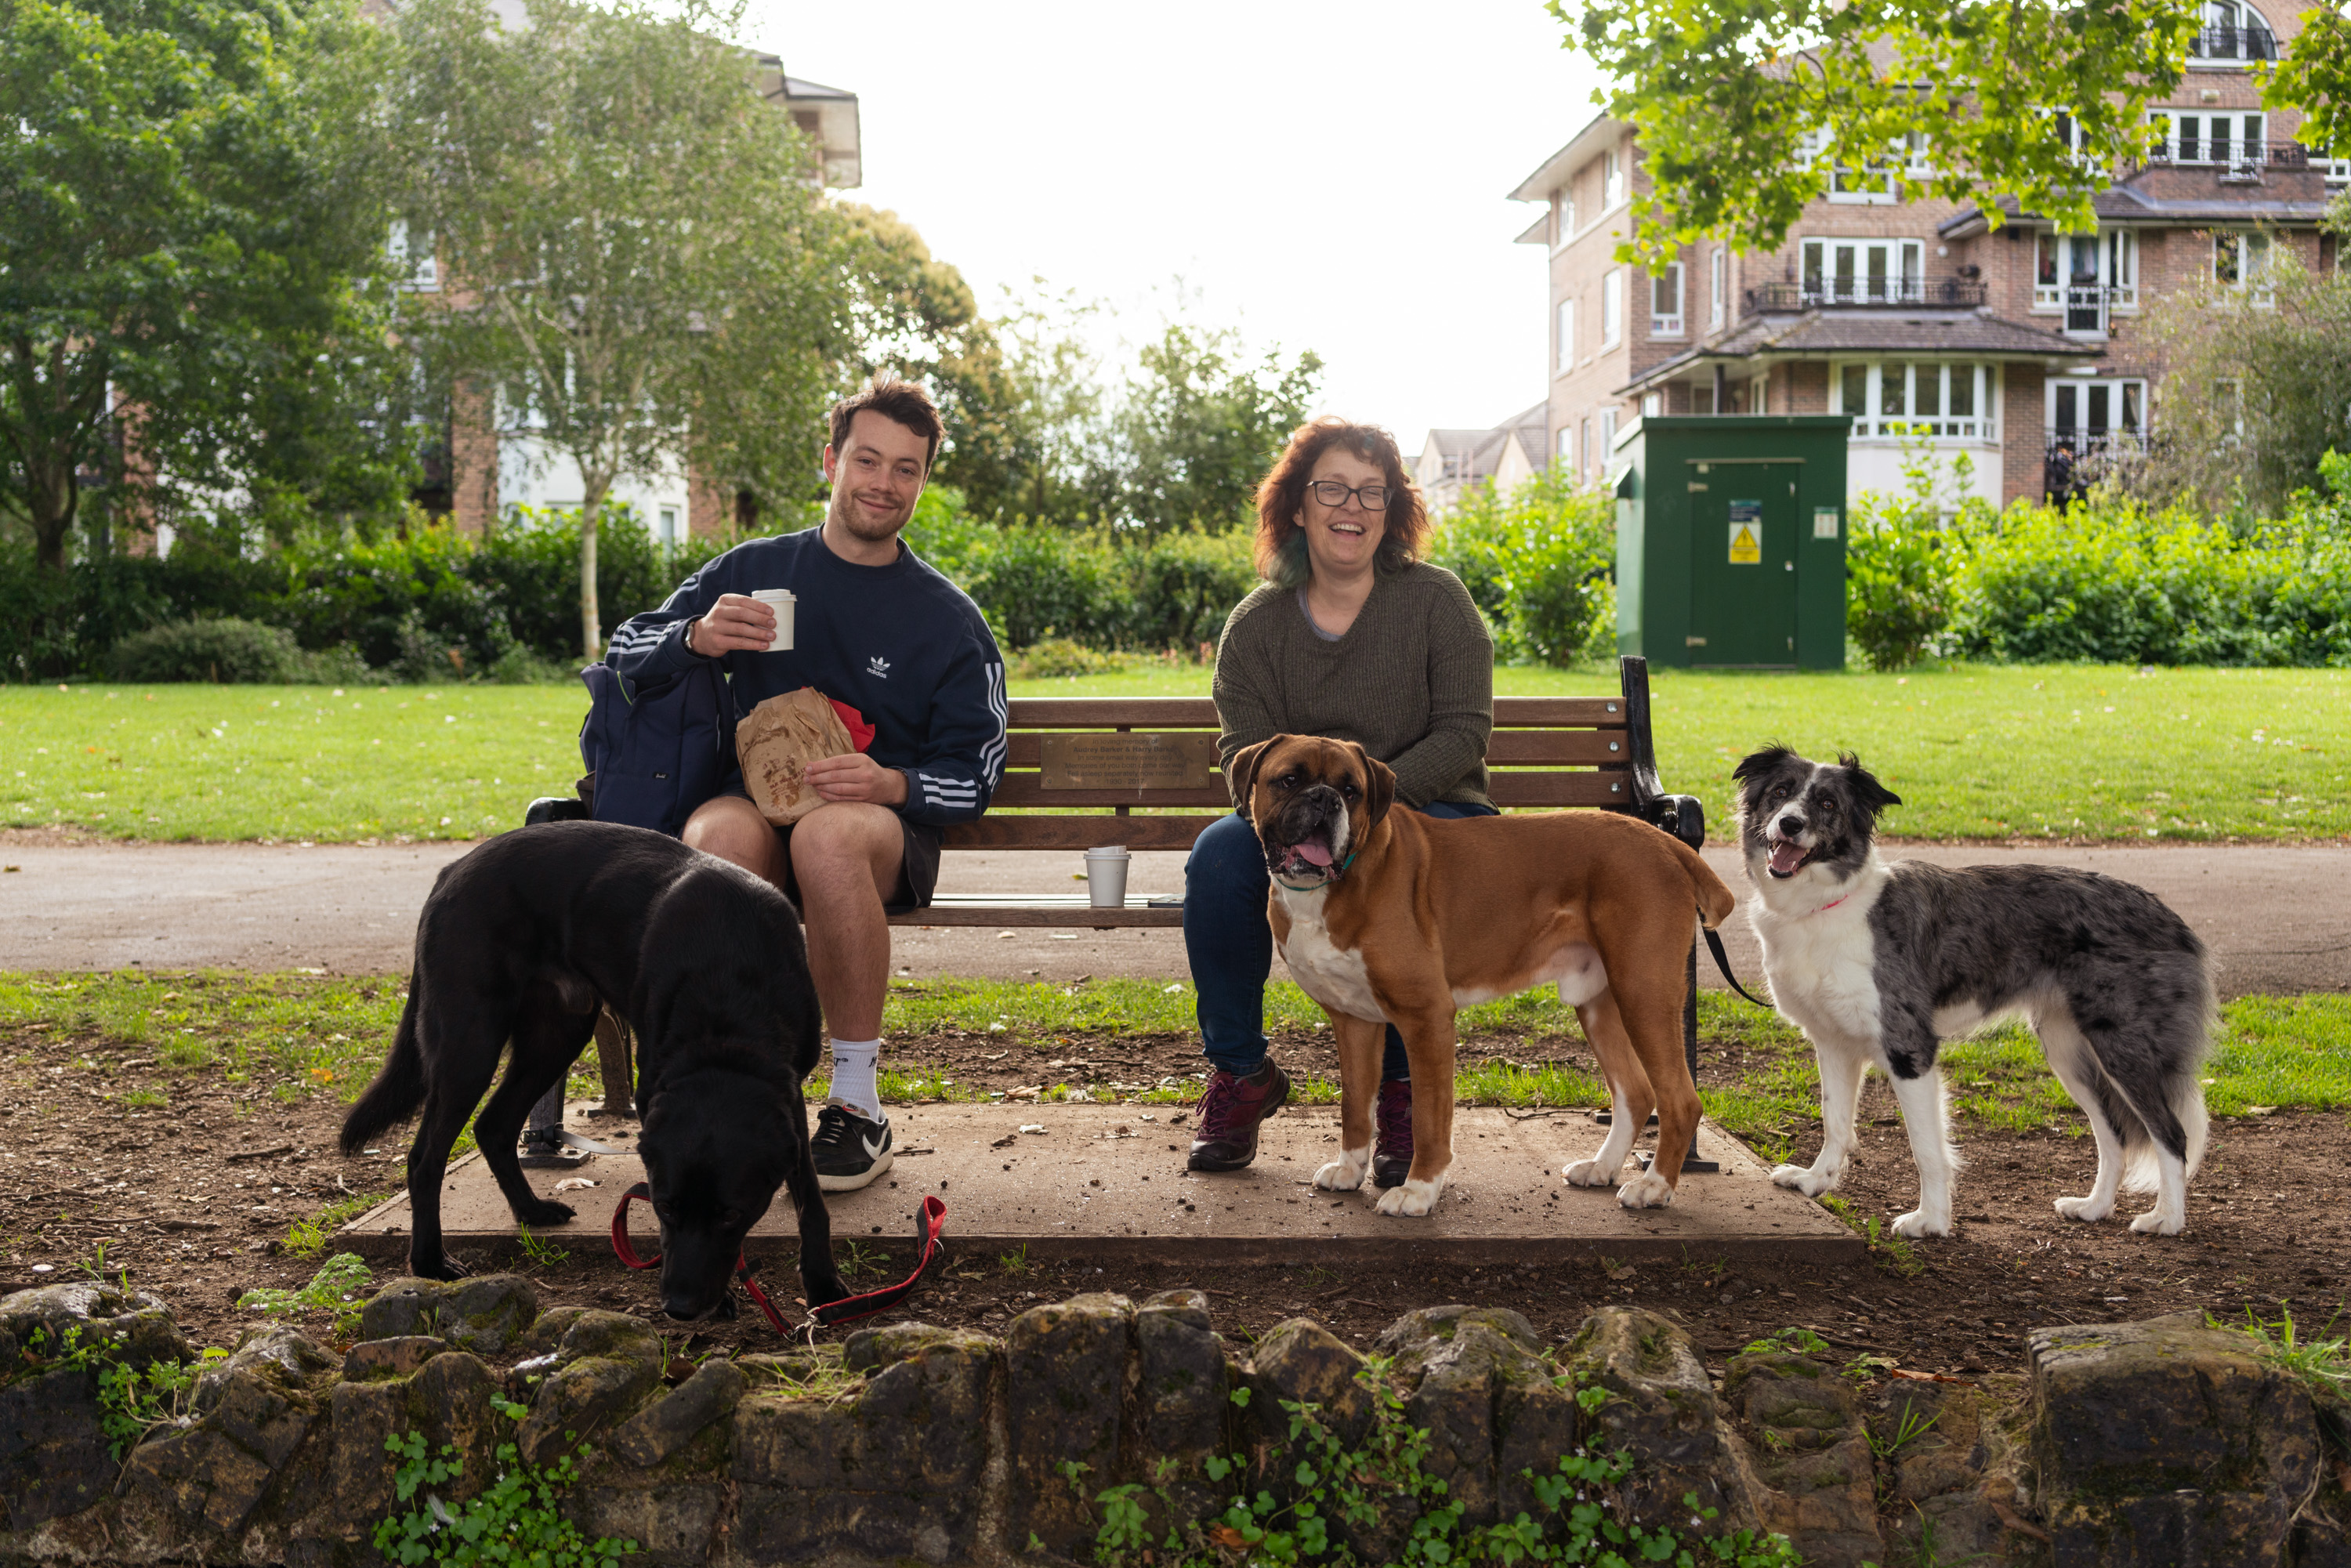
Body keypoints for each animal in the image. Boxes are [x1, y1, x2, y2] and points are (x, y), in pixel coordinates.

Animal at [1232, 729, 1749, 1222]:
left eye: (1351, 790)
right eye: (1289, 780)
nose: (1325, 799)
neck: (1334, 884)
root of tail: (1667, 843)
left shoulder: (1427, 1018)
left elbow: (1429, 1119)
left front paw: (1418, 1192)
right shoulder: (1354, 1022)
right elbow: (1356, 1106)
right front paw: (1349, 1170)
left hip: (1643, 995)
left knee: (1680, 1100)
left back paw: (1654, 1187)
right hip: (1601, 1004)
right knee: (1636, 1093)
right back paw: (1601, 1168)